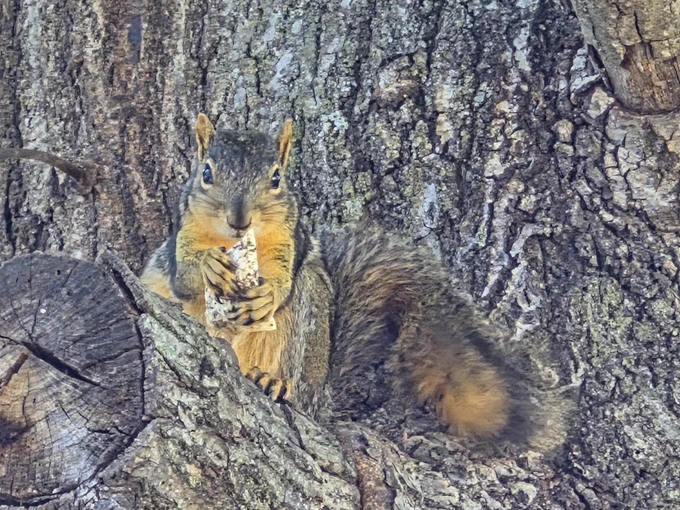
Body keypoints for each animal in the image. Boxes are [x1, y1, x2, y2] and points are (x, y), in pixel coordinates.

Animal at [140, 114, 568, 448]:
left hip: (309, 318)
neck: (235, 243)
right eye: (206, 173)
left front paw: (266, 297)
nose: (239, 219)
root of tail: (322, 397)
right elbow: (184, 275)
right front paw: (209, 265)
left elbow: (281, 282)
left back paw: (273, 382)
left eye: (276, 178)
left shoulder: (289, 241)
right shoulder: (180, 237)